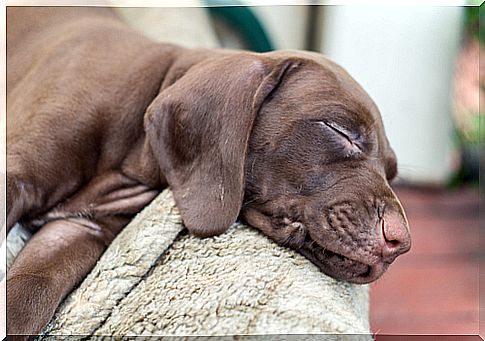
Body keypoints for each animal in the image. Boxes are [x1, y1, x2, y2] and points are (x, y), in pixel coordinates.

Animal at [5, 6, 410, 336]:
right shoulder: (14, 178)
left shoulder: (76, 232)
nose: (399, 243)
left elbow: (26, 295)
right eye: (339, 130)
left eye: (391, 174)